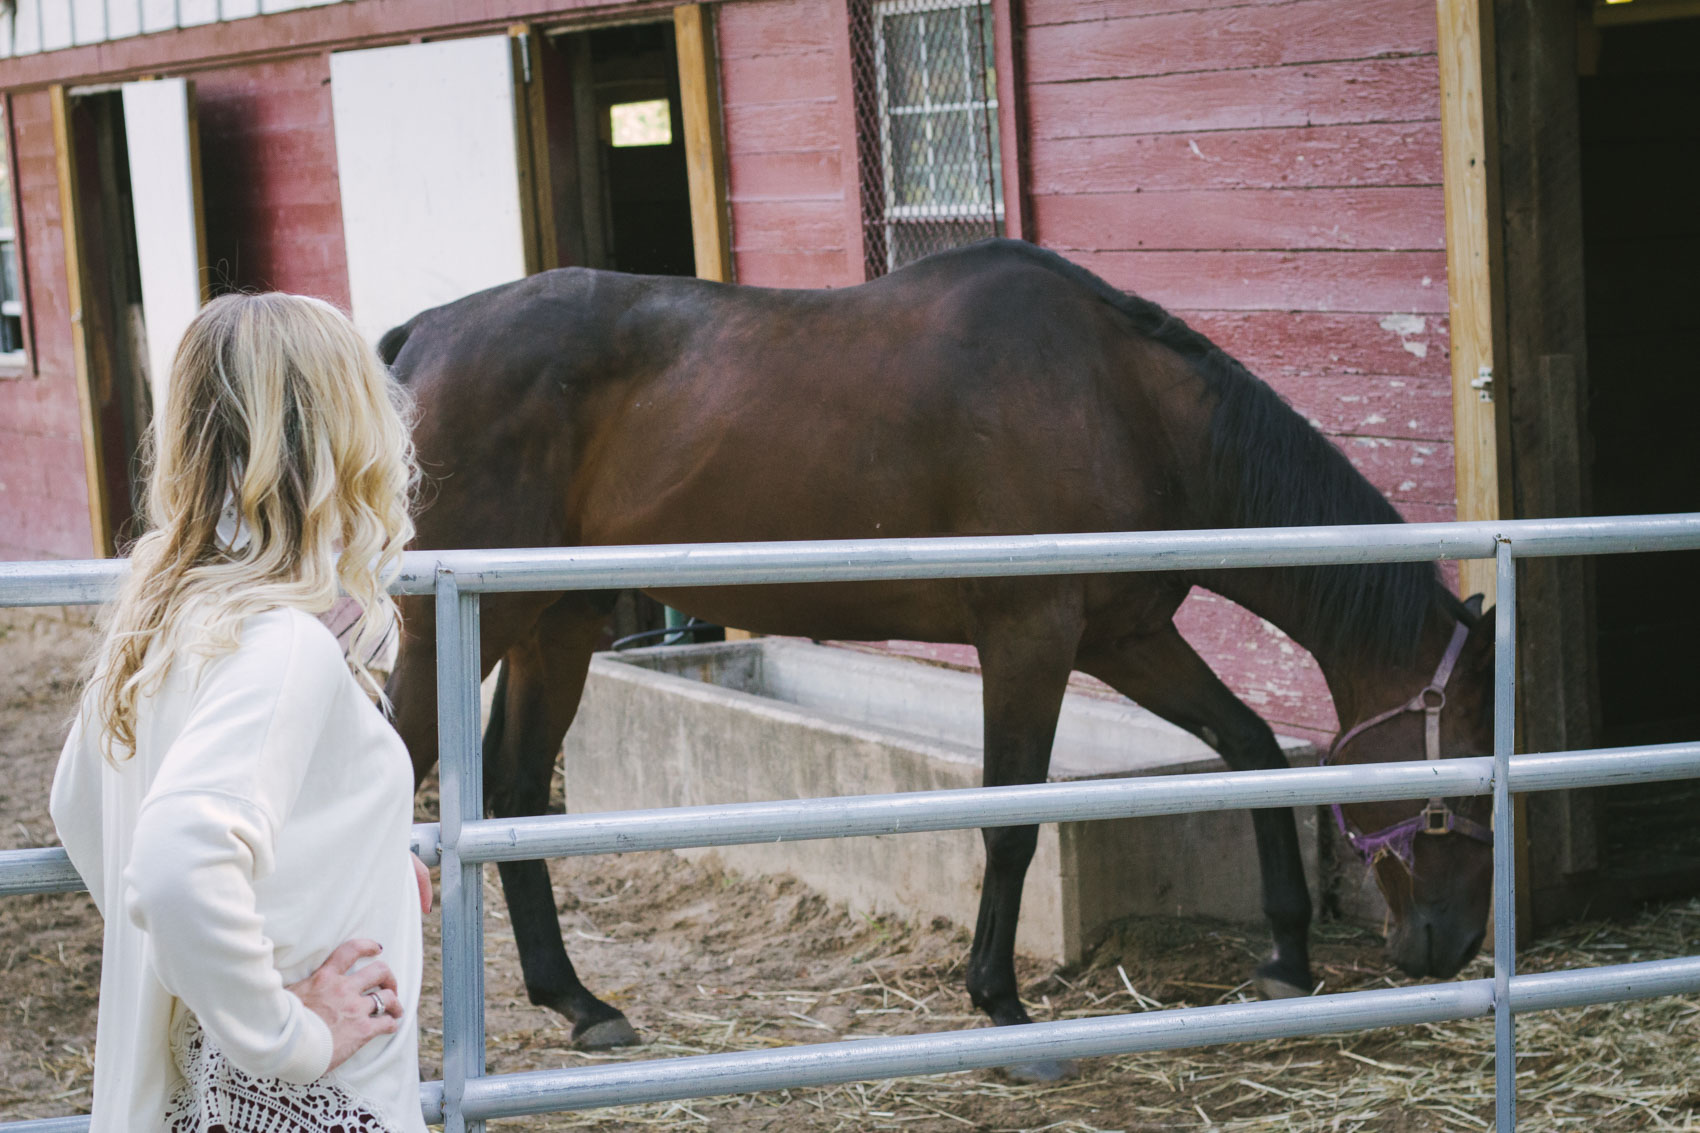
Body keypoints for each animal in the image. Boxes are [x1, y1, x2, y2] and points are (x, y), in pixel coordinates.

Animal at [379, 238, 1496, 1068]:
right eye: (1464, 760)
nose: (1448, 943)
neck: (1121, 402)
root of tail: (418, 337)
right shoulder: (1029, 635)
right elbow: (1009, 819)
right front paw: (999, 1004)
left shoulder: (1125, 634)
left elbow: (1253, 750)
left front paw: (1286, 958)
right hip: (452, 630)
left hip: (551, 623)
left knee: (515, 794)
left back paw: (580, 1002)